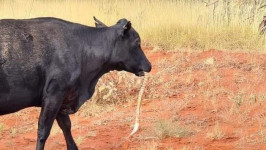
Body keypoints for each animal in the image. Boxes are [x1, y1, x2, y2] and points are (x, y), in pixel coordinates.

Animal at [0, 16, 152, 150]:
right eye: (137, 42)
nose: (149, 65)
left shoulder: (62, 97)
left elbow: (66, 126)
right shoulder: (54, 94)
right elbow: (43, 130)